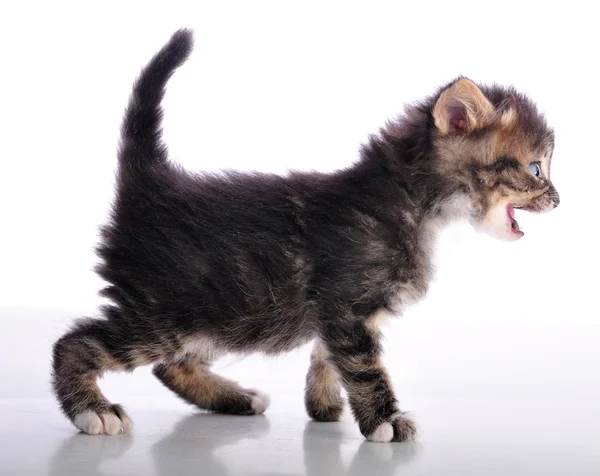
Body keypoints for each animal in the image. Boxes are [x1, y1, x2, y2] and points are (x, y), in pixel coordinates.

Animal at [50, 27, 556, 440]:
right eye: (536, 169)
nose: (558, 199)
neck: (413, 201)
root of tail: (149, 182)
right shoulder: (348, 305)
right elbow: (364, 365)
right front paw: (385, 420)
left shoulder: (337, 311)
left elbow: (327, 355)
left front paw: (324, 406)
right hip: (166, 309)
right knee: (76, 343)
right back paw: (93, 410)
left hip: (217, 312)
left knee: (171, 366)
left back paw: (235, 399)